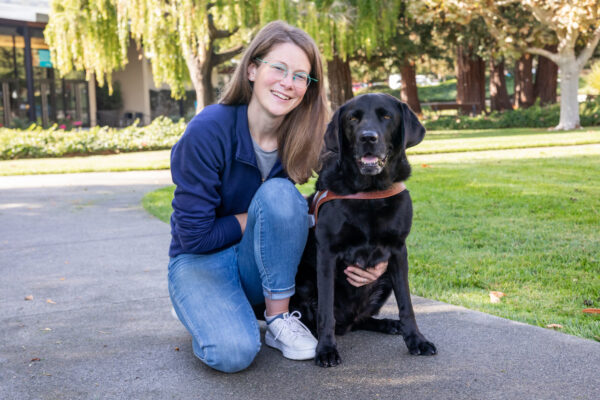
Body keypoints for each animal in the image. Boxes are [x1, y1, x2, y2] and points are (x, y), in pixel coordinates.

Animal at [290, 92, 436, 368]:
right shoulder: (327, 253)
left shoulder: (398, 251)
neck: (370, 193)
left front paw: (417, 340)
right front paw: (326, 350)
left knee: (362, 320)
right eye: (353, 119)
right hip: (303, 280)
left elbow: (407, 304)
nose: (368, 137)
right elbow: (325, 309)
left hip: (385, 277)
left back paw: (389, 324)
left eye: (387, 116)